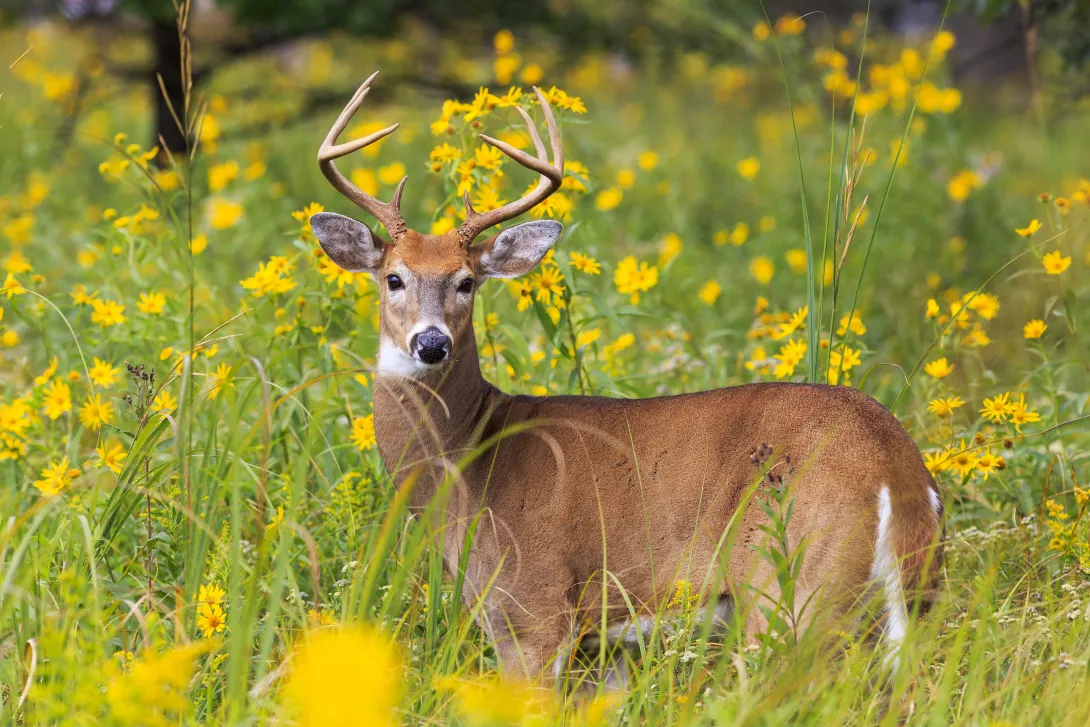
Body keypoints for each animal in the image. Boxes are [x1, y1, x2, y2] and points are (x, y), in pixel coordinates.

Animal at [309, 71, 944, 684]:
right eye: (393, 277)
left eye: (466, 281)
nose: (431, 343)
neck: (470, 461)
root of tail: (896, 465)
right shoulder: (606, 648)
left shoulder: (533, 608)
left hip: (792, 584)